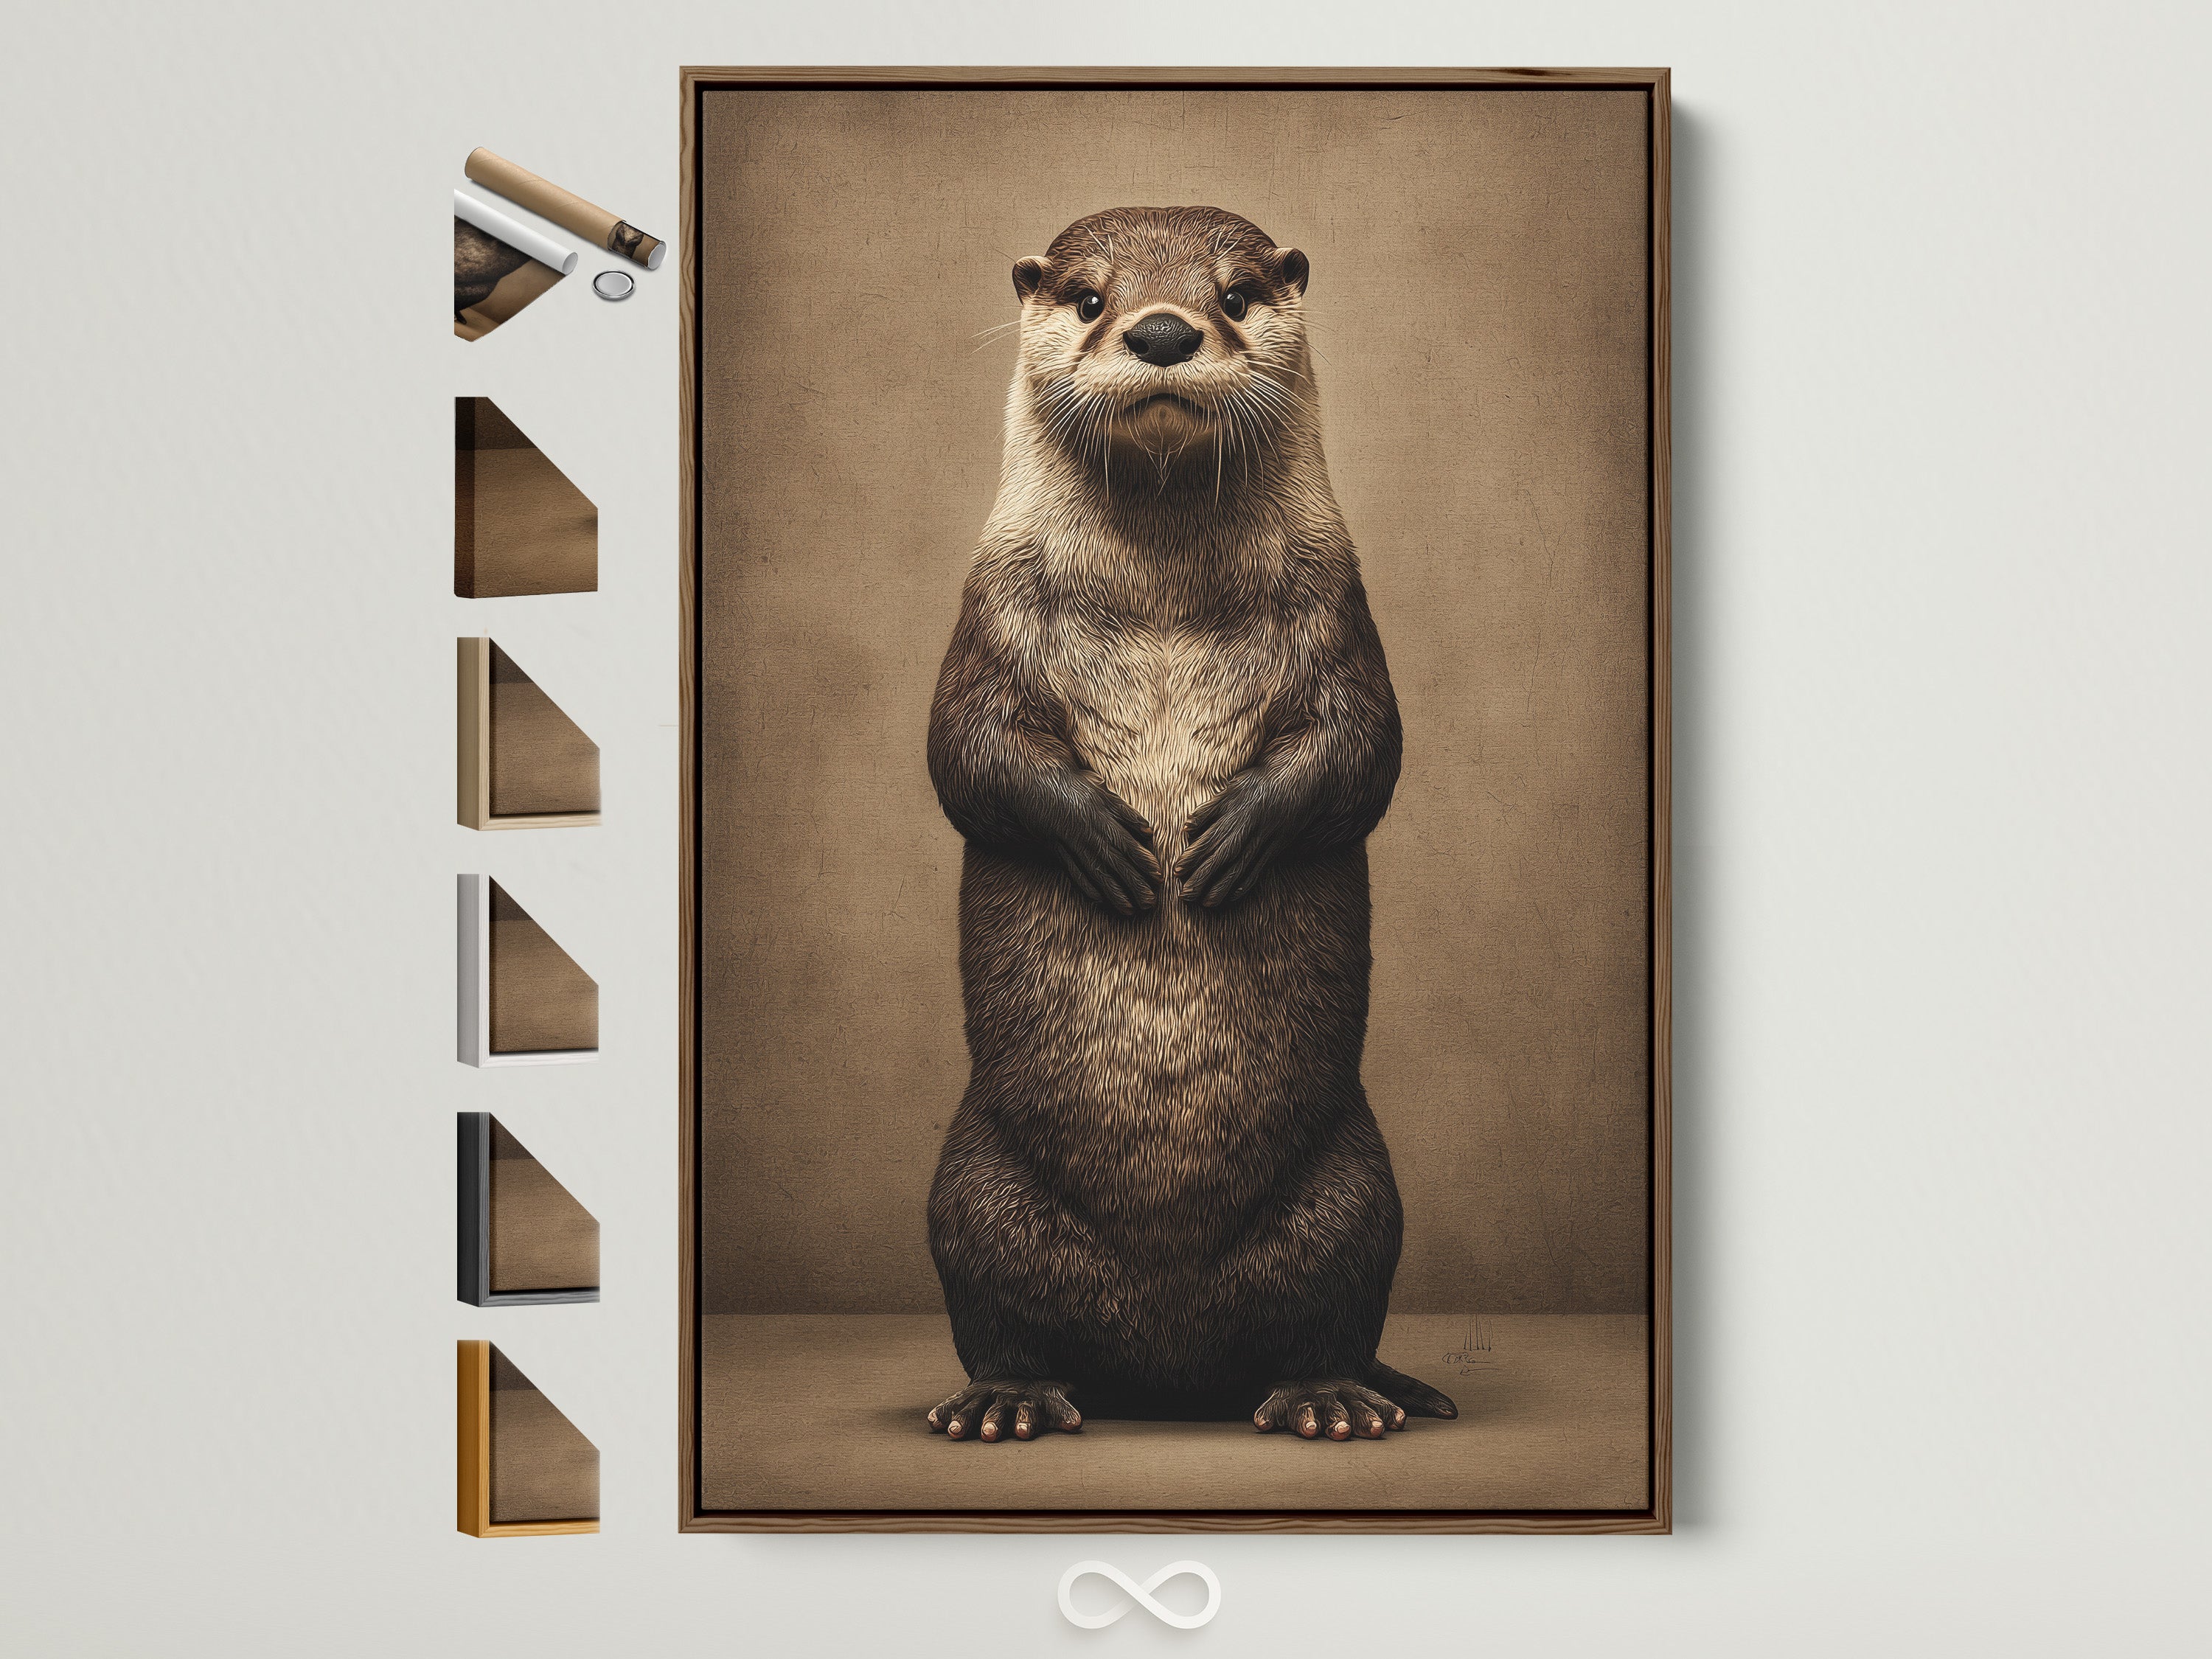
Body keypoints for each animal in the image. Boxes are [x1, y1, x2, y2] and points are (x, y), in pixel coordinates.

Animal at [923, 206, 1456, 1446]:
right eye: (1088, 298)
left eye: (1237, 294)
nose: (1163, 332)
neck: (1159, 596)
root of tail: (1168, 1369)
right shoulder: (987, 614)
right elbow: (964, 753)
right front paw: (1106, 841)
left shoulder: (1338, 609)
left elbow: (1365, 751)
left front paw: (1230, 838)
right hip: (971, 1185)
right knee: (998, 1314)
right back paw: (1005, 1399)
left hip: (1356, 1189)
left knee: (1329, 1317)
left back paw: (1334, 1398)